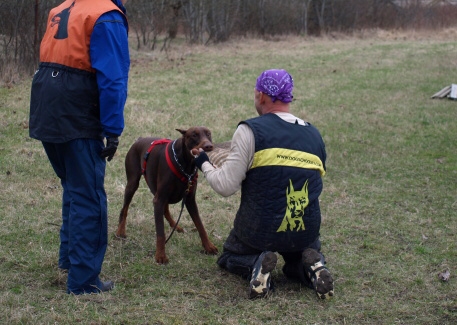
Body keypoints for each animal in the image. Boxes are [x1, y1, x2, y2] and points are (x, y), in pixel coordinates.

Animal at [116, 126, 218, 264]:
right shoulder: (159, 199)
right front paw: (160, 255)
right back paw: (120, 231)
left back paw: (176, 226)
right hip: (132, 183)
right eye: (194, 135)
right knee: (124, 208)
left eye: (208, 134)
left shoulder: (190, 199)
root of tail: (139, 140)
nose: (208, 146)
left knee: (165, 209)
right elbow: (160, 232)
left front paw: (209, 246)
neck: (186, 165)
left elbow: (200, 225)